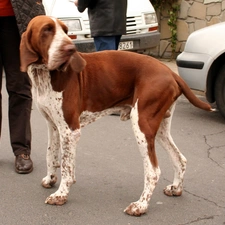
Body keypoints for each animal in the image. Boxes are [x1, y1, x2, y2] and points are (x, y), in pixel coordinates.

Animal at [19, 15, 214, 216]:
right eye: (47, 30)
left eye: (66, 31)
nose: (71, 49)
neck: (43, 74)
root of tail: (170, 72)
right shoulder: (54, 126)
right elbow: (51, 154)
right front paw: (50, 179)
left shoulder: (70, 130)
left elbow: (66, 166)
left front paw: (61, 194)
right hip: (159, 128)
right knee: (179, 159)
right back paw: (176, 188)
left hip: (142, 125)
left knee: (153, 171)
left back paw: (140, 205)